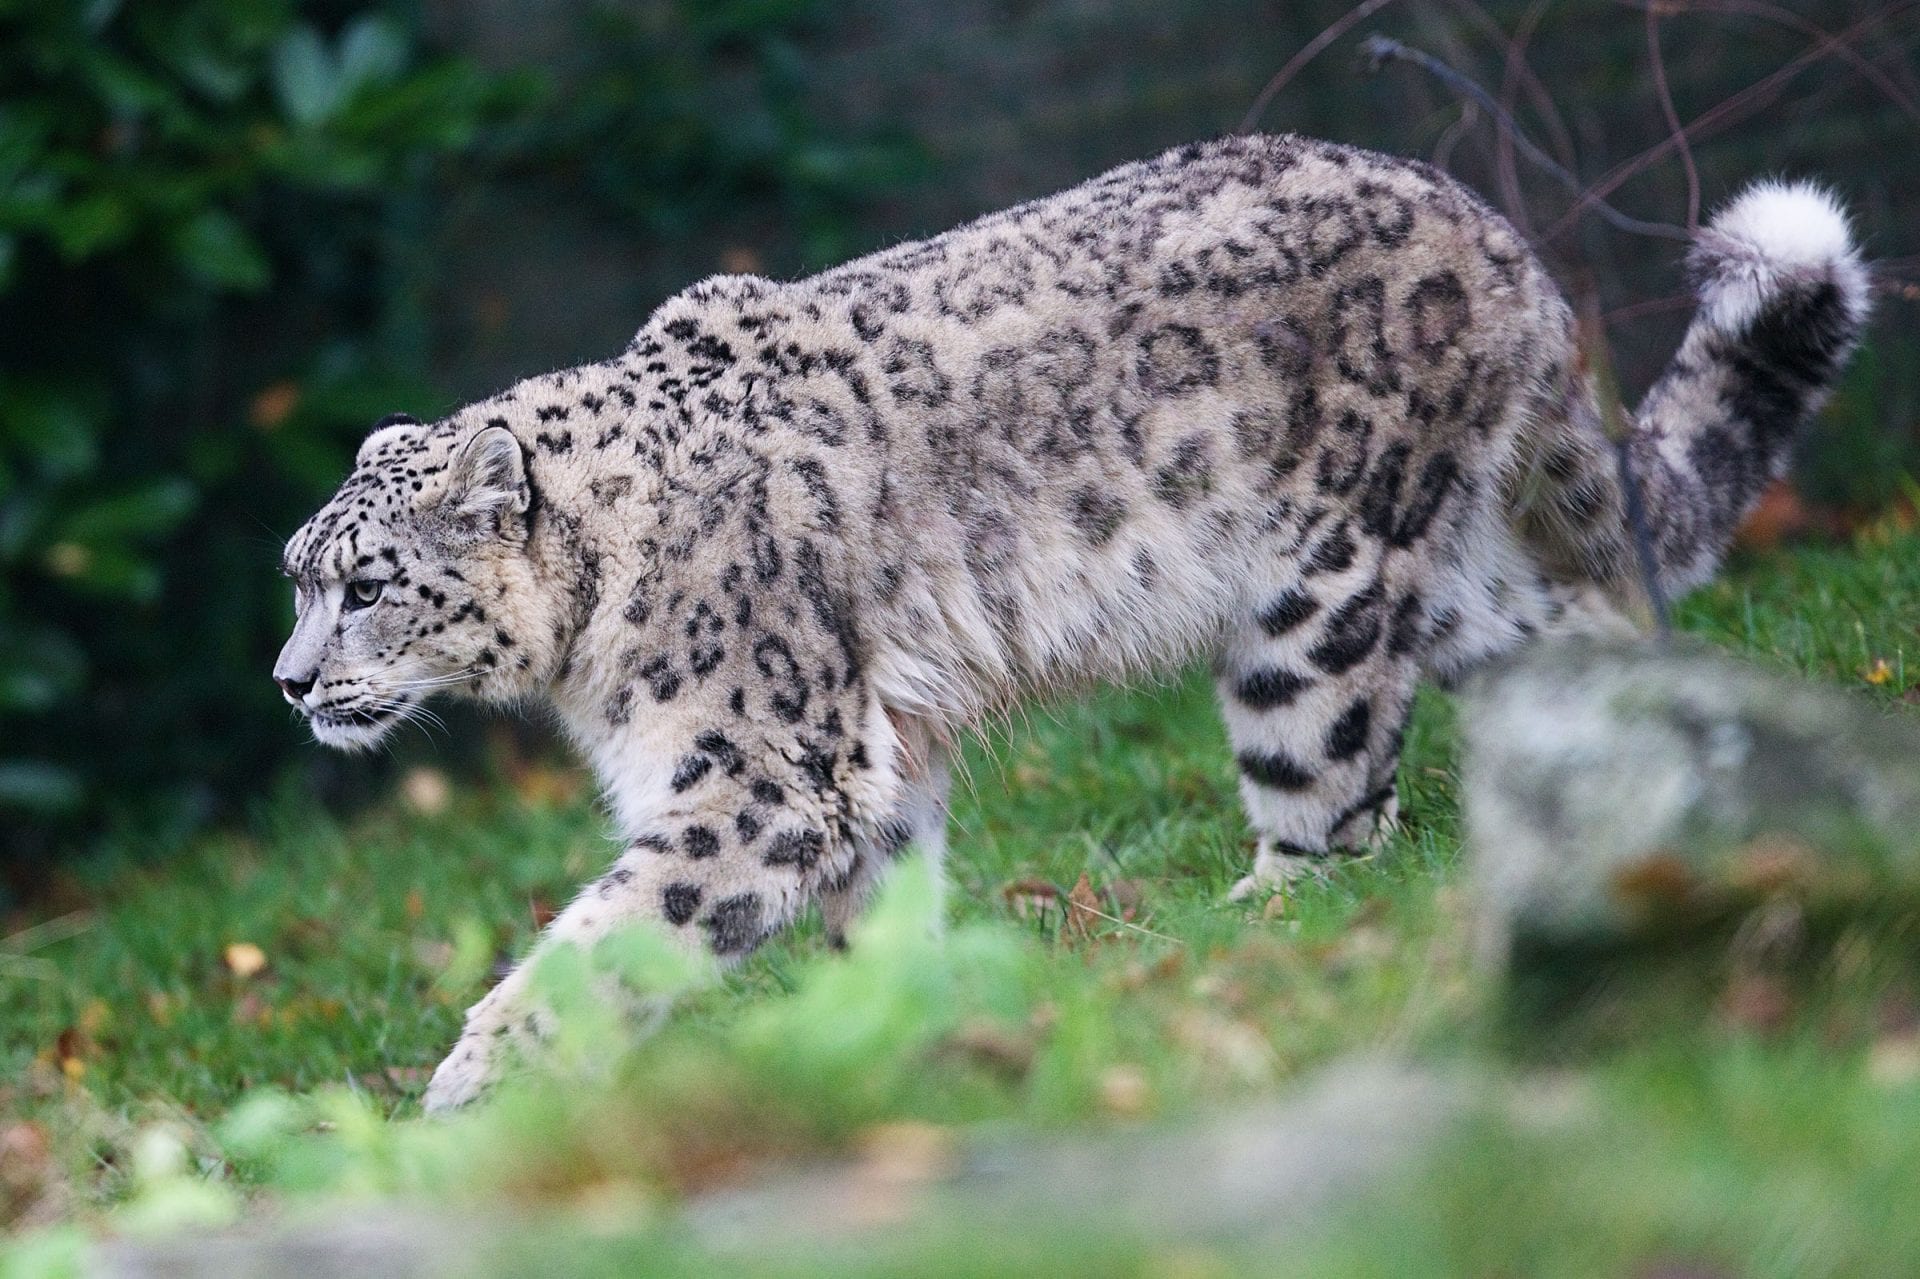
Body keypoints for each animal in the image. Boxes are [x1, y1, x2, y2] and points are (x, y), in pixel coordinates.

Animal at [273, 134, 1870, 1109]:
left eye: (366, 584)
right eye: (297, 572)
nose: (289, 682)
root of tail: (1496, 232)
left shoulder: (760, 772)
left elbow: (613, 933)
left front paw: (470, 1088)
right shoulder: (875, 764)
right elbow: (878, 904)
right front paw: (893, 1023)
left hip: (1322, 594)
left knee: (1336, 803)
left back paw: (1241, 930)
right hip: (1465, 572)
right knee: (1584, 631)